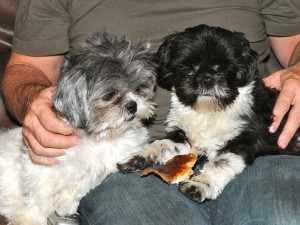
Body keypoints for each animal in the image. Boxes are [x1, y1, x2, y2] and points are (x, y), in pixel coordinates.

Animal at [0, 31, 157, 225]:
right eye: (110, 95)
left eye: (140, 88)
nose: (132, 105)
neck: (97, 138)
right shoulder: (41, 159)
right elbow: (39, 194)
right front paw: (31, 218)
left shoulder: (112, 161)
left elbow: (87, 179)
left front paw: (65, 201)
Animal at [118, 25, 298, 204]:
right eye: (189, 67)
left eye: (224, 68)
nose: (207, 79)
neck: (208, 112)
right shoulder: (187, 140)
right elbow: (161, 144)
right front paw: (138, 156)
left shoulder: (241, 143)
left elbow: (219, 165)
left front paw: (200, 185)